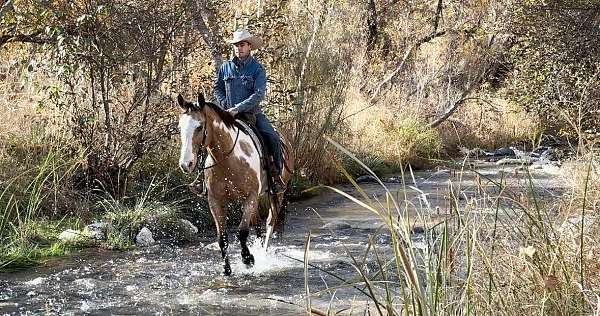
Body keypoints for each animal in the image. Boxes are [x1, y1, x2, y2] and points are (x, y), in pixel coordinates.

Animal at [175, 92, 294, 276]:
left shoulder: (250, 197)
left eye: (200, 127)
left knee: (270, 222)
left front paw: (248, 259)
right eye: (180, 127)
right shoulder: (215, 202)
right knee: (257, 222)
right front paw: (227, 269)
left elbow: (242, 232)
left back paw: (262, 255)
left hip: (277, 193)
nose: (186, 164)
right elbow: (222, 238)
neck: (228, 158)